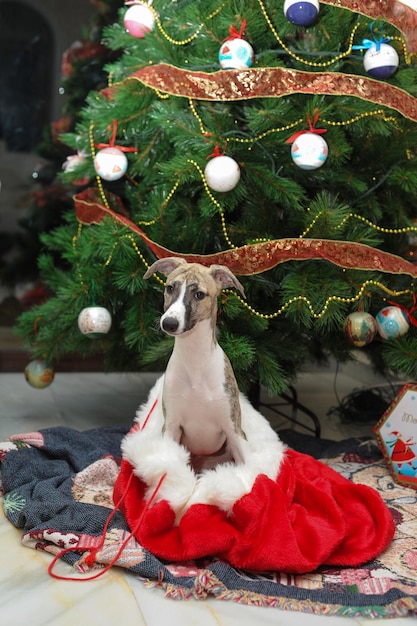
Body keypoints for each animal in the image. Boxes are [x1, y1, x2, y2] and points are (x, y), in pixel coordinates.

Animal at [144, 258, 247, 468]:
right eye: (169, 288)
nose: (169, 323)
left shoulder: (233, 429)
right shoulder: (172, 426)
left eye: (199, 294)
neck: (195, 362)